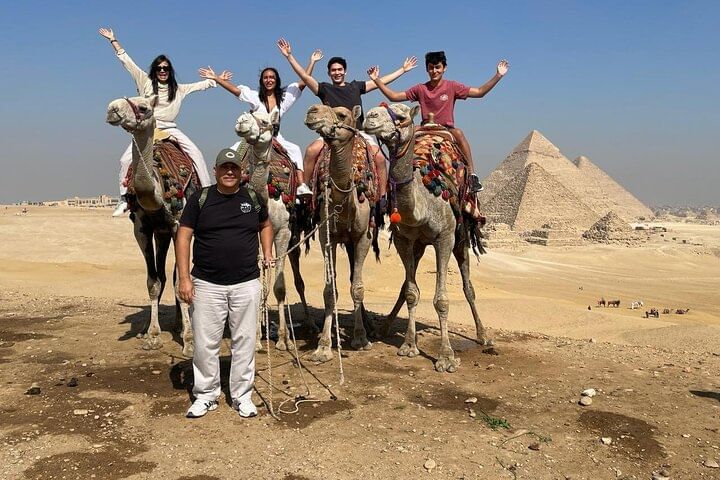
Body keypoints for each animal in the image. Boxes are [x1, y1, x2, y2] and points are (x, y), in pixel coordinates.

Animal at [105, 94, 193, 357]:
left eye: (144, 108)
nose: (112, 109)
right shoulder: (142, 229)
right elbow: (153, 282)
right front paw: (152, 336)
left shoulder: (178, 225)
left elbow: (180, 282)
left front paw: (189, 342)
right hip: (160, 234)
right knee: (163, 275)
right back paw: (151, 327)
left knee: (175, 276)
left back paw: (180, 325)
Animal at [233, 110, 313, 351]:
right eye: (249, 112)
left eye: (265, 121)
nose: (241, 121)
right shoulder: (255, 234)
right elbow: (258, 284)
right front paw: (257, 338)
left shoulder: (284, 232)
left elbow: (280, 286)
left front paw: (284, 340)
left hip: (294, 233)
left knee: (297, 277)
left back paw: (309, 323)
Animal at [303, 104, 375, 362]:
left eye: (342, 115)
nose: (312, 110)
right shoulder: (328, 237)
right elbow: (329, 291)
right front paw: (323, 346)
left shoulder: (363, 237)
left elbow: (358, 288)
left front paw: (361, 339)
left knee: (355, 278)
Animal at [363, 103, 490, 372]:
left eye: (401, 116)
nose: (369, 116)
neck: (423, 202)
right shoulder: (405, 240)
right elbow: (411, 292)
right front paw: (409, 346)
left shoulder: (444, 238)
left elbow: (441, 300)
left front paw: (446, 357)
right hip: (420, 247)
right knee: (405, 286)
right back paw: (384, 328)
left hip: (461, 239)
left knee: (468, 287)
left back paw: (483, 336)